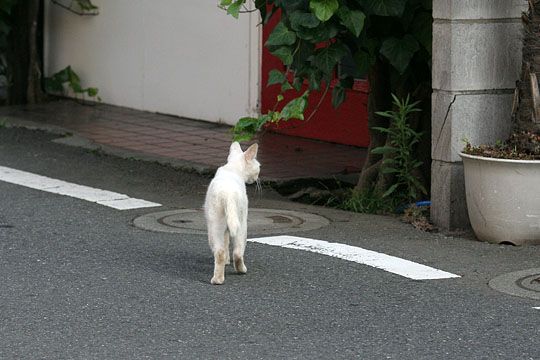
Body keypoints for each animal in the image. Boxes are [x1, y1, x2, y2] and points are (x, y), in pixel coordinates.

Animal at [204, 141, 260, 284]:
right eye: (259, 167)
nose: (257, 177)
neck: (232, 168)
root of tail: (227, 194)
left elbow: (225, 243)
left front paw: (226, 262)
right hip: (242, 223)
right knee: (237, 252)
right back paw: (241, 270)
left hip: (215, 225)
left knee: (220, 251)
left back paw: (218, 279)